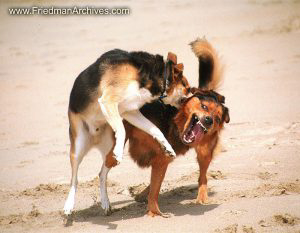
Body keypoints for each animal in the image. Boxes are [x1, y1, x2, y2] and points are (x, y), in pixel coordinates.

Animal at [63, 48, 190, 215]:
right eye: (188, 88)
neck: (156, 75)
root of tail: (94, 139)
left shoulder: (130, 111)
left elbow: (156, 130)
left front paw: (168, 148)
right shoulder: (108, 101)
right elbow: (122, 130)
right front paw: (119, 152)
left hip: (107, 150)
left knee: (102, 174)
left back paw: (105, 202)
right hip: (78, 147)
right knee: (74, 179)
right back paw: (69, 205)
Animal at [101, 38, 230, 217]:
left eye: (217, 118)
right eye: (204, 106)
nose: (209, 120)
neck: (174, 121)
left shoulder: (163, 158)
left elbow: (156, 187)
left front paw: (154, 213)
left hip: (204, 151)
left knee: (202, 176)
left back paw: (202, 196)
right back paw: (142, 193)